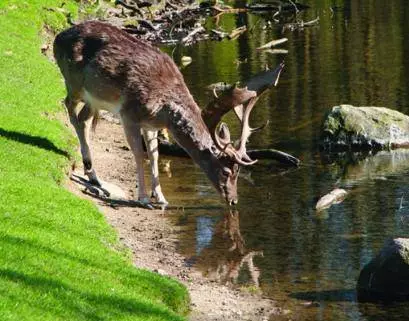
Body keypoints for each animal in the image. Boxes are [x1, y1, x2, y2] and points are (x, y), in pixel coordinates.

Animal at [53, 20, 284, 205]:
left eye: (239, 172)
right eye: (226, 171)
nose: (234, 200)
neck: (164, 111)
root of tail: (57, 37)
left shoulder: (150, 124)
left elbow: (154, 155)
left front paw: (161, 198)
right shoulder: (129, 114)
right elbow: (139, 153)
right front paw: (143, 198)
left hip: (94, 100)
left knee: (84, 118)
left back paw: (93, 175)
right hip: (73, 82)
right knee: (68, 106)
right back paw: (90, 170)